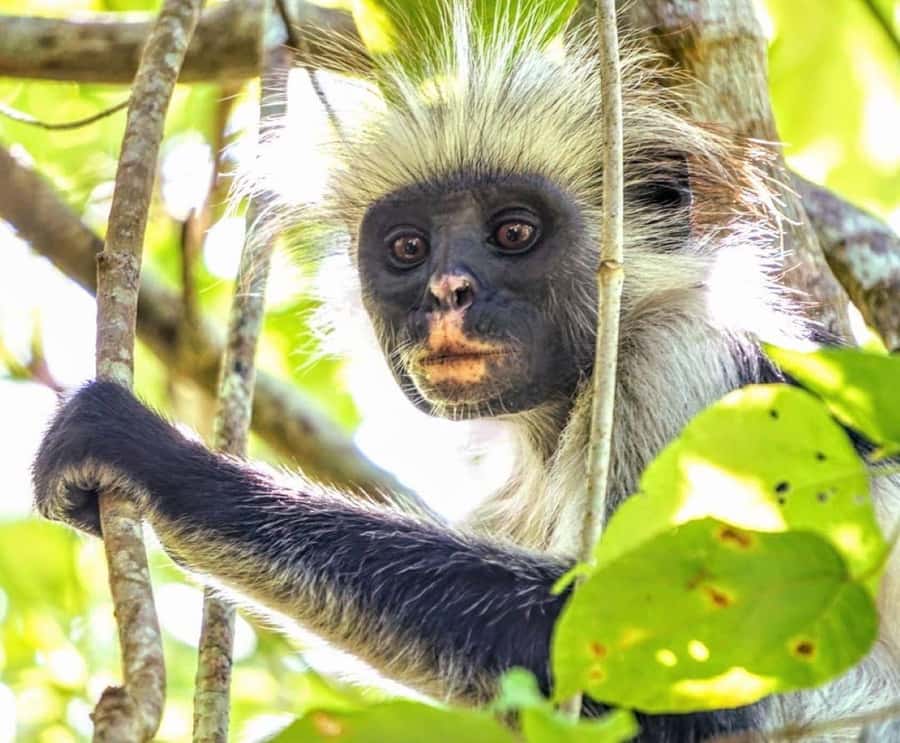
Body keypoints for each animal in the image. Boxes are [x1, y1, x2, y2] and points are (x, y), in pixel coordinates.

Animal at [30, 3, 900, 741]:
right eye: (408, 248)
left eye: (514, 231)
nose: (449, 291)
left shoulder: (683, 364)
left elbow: (648, 667)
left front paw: (157, 460)